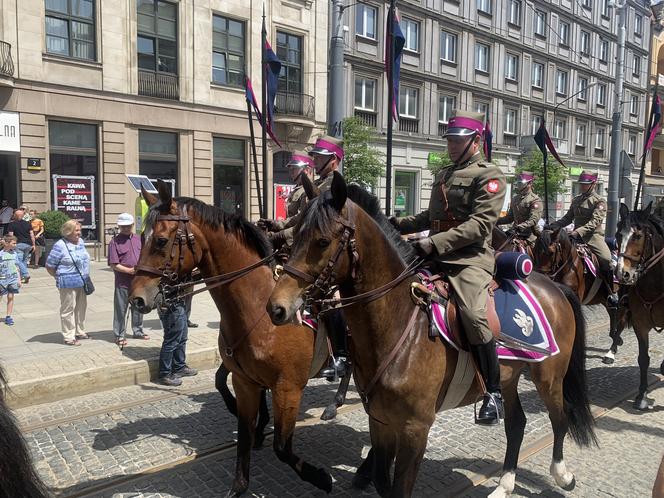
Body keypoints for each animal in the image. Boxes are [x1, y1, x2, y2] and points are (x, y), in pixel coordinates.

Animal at [129, 184, 338, 498]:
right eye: (142, 238)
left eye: (161, 241)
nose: (137, 299)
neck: (258, 308)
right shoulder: (244, 379)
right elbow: (243, 428)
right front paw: (240, 482)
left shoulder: (288, 388)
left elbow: (282, 447)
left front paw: (321, 478)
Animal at [266, 172, 596, 498]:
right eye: (295, 235)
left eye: (322, 241)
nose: (277, 307)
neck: (398, 326)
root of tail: (553, 285)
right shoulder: (380, 420)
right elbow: (383, 482)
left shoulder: (415, 428)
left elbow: (399, 488)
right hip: (509, 376)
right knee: (516, 424)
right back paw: (504, 484)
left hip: (548, 376)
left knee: (560, 418)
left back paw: (563, 475)